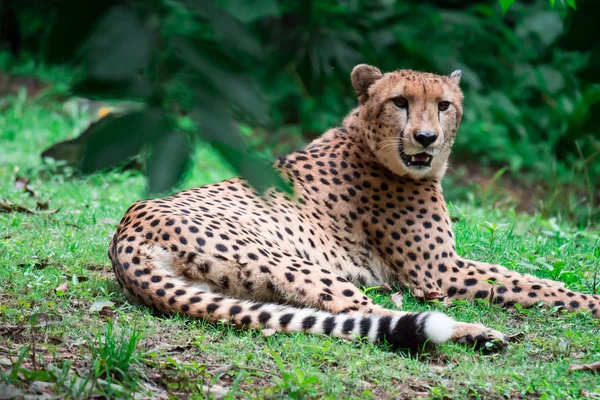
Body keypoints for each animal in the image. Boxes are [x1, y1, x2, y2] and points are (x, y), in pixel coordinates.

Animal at [109, 64, 600, 352]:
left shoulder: (448, 264)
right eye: (400, 101)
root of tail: (125, 233)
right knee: (371, 314)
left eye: (444, 105)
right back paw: (473, 332)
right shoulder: (440, 273)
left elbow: (527, 279)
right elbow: (531, 286)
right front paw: (591, 302)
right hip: (298, 264)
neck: (367, 141)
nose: (426, 139)